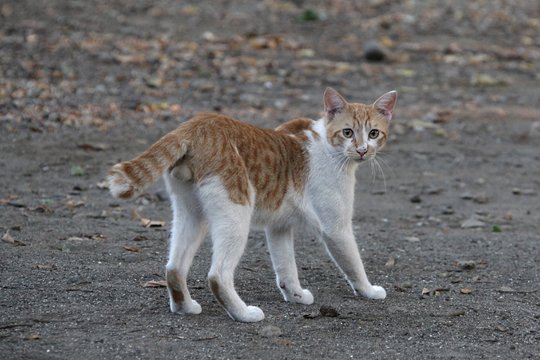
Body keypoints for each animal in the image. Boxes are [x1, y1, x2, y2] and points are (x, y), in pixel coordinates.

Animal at [108, 88, 396, 324]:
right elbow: (353, 264)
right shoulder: (336, 228)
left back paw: (185, 307)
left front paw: (295, 295)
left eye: (373, 133)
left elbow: (286, 266)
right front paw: (369, 291)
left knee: (174, 268)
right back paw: (243, 314)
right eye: (348, 132)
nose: (362, 150)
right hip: (236, 215)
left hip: (191, 215)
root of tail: (197, 123)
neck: (325, 143)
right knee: (218, 275)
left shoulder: (279, 227)